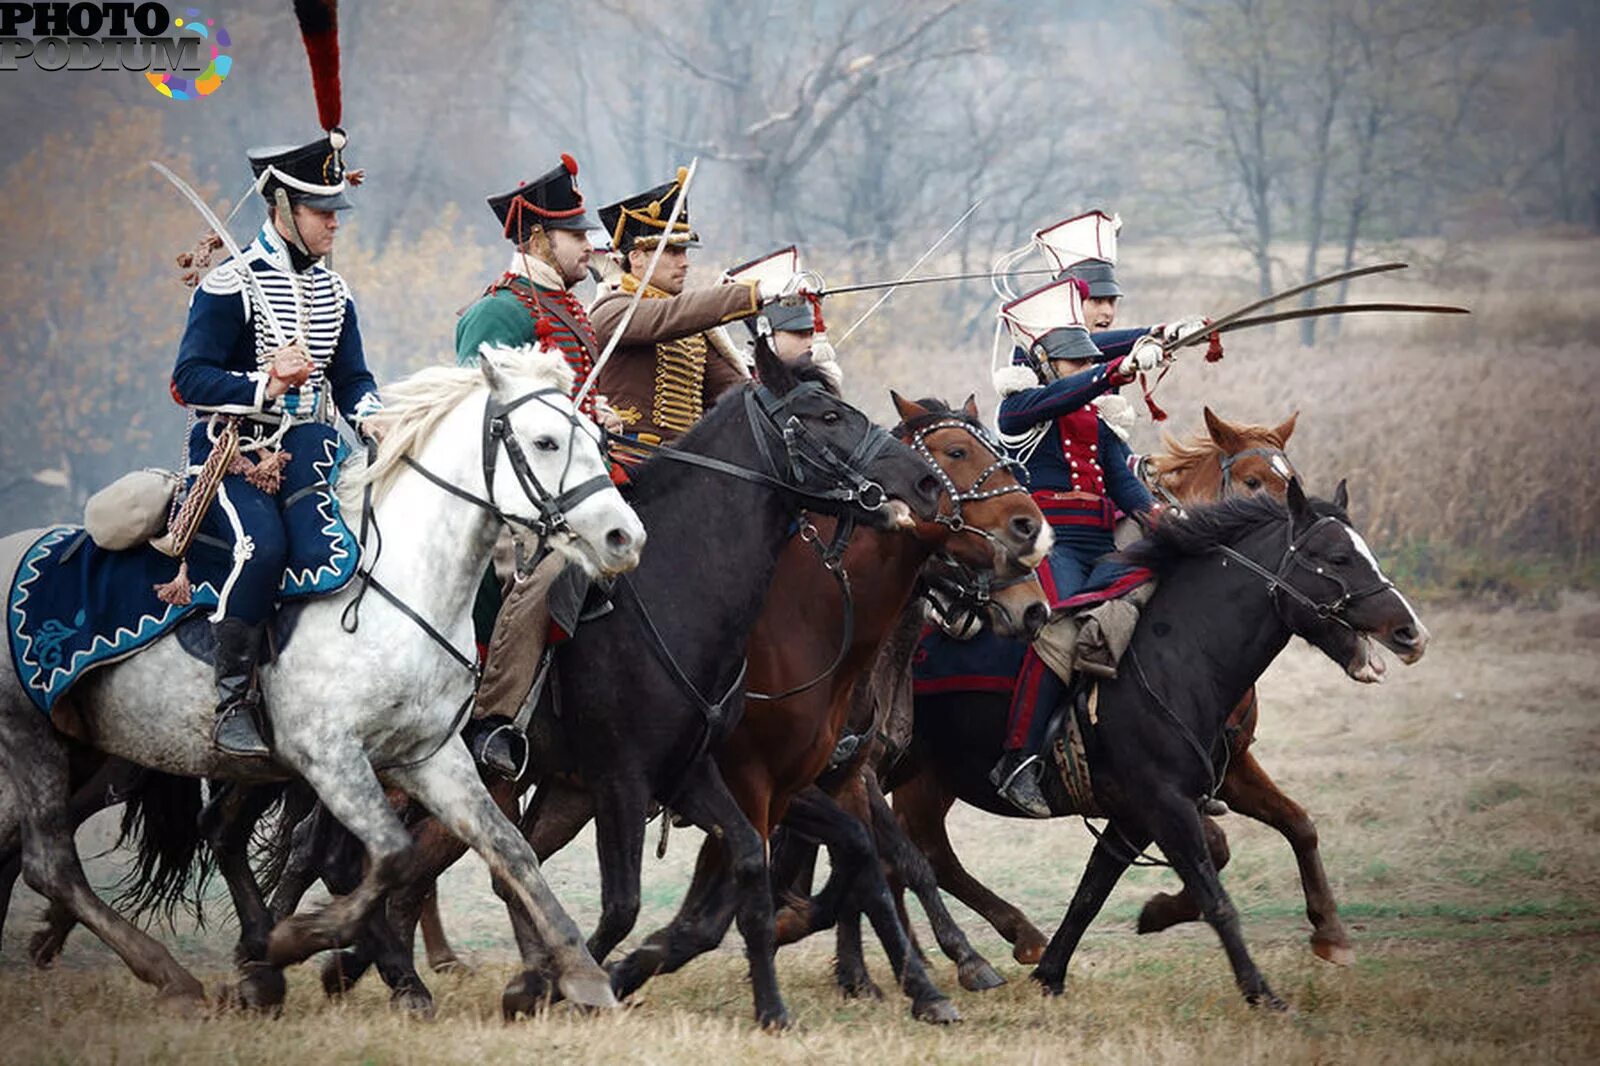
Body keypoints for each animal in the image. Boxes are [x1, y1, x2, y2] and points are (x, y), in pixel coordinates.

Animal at [0, 344, 643, 1011]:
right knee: (51, 864)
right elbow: (389, 854)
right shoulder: (329, 758)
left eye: (597, 436)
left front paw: (582, 971)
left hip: (72, 748)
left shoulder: (430, 757)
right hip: (34, 739)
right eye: (545, 441)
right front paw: (298, 942)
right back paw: (174, 973)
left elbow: (508, 848)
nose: (624, 537)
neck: (398, 586)